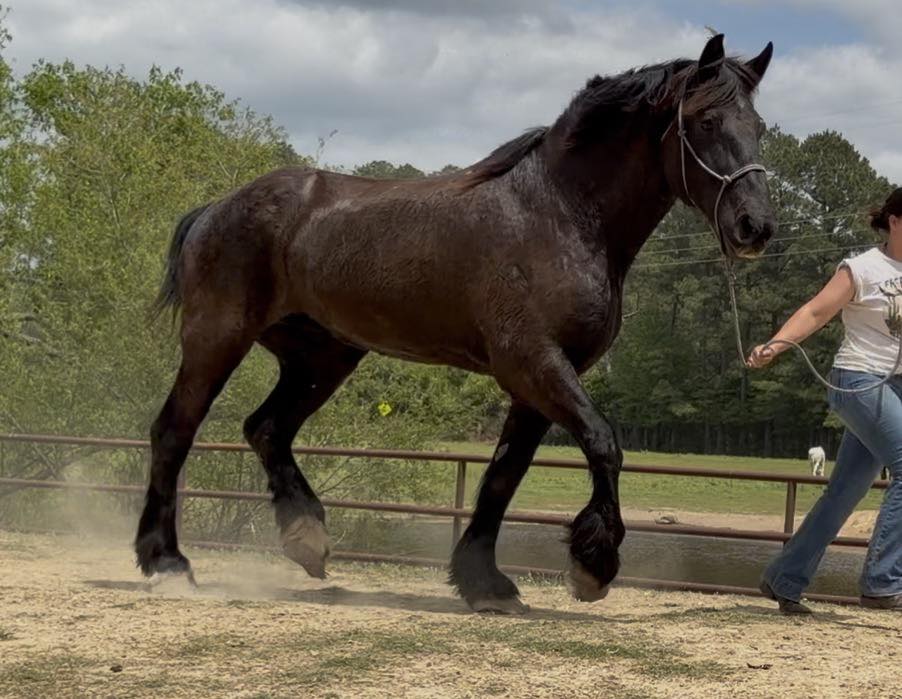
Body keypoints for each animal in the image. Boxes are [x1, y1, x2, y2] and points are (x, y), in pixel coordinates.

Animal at [137, 34, 776, 613]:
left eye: (760, 127)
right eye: (707, 120)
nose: (755, 226)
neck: (559, 214)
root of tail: (216, 208)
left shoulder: (537, 380)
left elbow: (503, 475)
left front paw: (484, 583)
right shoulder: (534, 362)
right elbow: (602, 442)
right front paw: (592, 565)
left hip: (323, 357)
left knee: (267, 428)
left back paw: (306, 539)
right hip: (218, 337)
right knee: (174, 430)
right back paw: (166, 561)